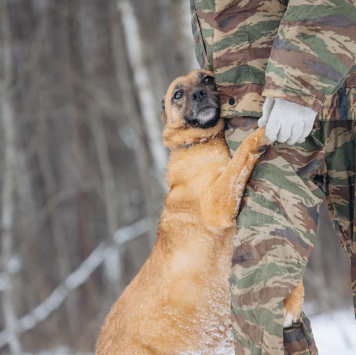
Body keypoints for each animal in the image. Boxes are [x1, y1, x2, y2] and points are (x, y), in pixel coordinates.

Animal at [95, 70, 304, 355]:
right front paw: (265, 130)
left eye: (206, 79)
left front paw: (294, 302)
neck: (201, 141)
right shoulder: (218, 203)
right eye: (178, 94)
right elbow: (243, 150)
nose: (198, 94)